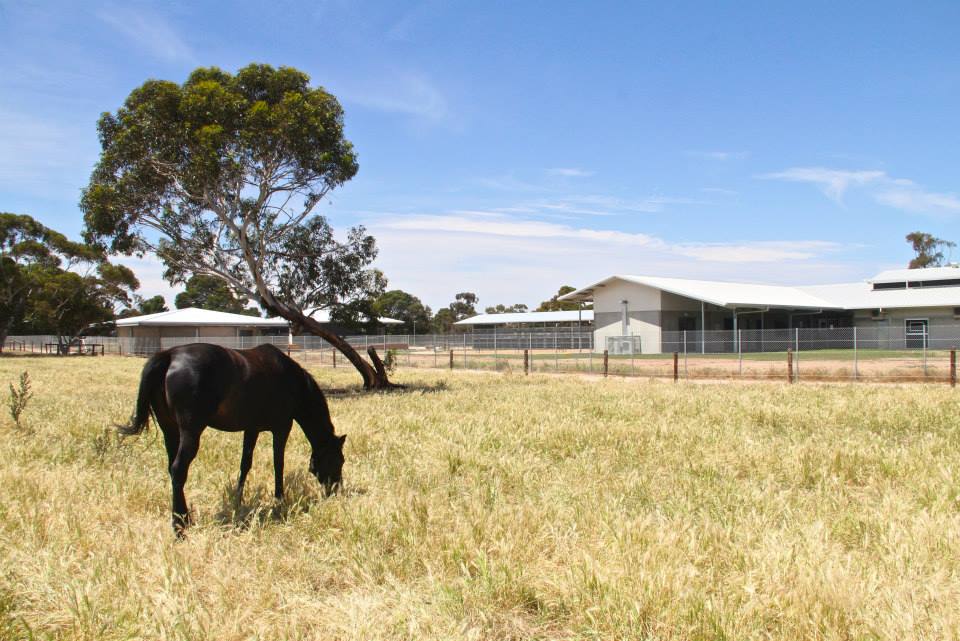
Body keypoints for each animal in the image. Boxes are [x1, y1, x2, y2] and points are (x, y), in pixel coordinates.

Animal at [119, 342, 344, 532]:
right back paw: (179, 526)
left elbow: (245, 464)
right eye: (339, 460)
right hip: (191, 432)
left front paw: (238, 500)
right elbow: (278, 463)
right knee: (178, 470)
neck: (294, 382)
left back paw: (184, 518)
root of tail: (170, 355)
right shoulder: (282, 428)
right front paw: (280, 499)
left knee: (172, 469)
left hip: (170, 430)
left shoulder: (252, 429)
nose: (336, 490)